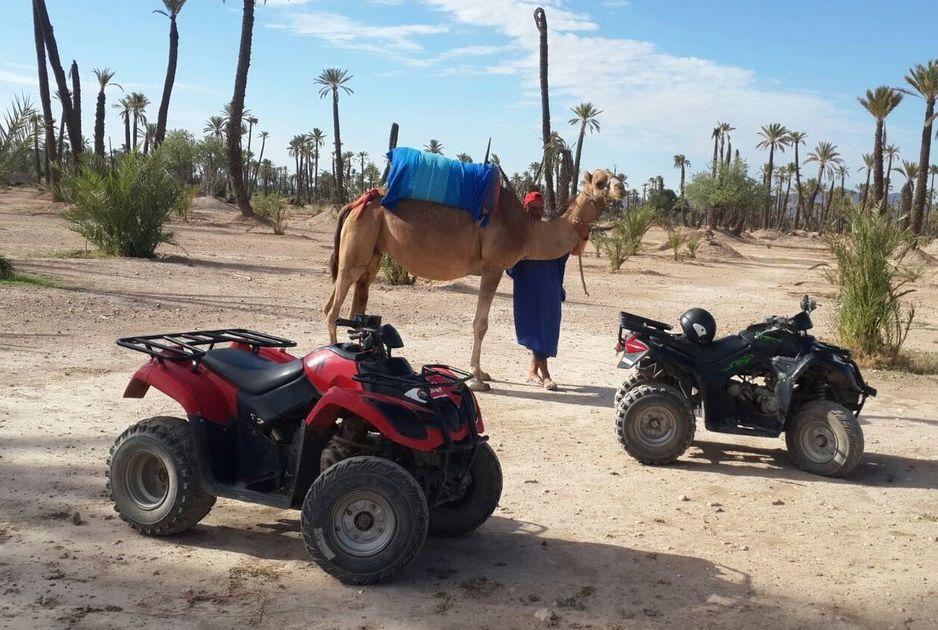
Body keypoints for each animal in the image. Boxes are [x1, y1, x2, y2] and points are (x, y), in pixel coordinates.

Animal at [326, 170, 624, 392]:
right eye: (600, 182)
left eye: (617, 175)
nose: (622, 189)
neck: (527, 230)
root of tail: (356, 203)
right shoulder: (493, 268)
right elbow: (481, 324)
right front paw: (477, 379)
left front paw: (483, 372)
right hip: (357, 246)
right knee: (332, 308)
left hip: (374, 251)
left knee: (355, 302)